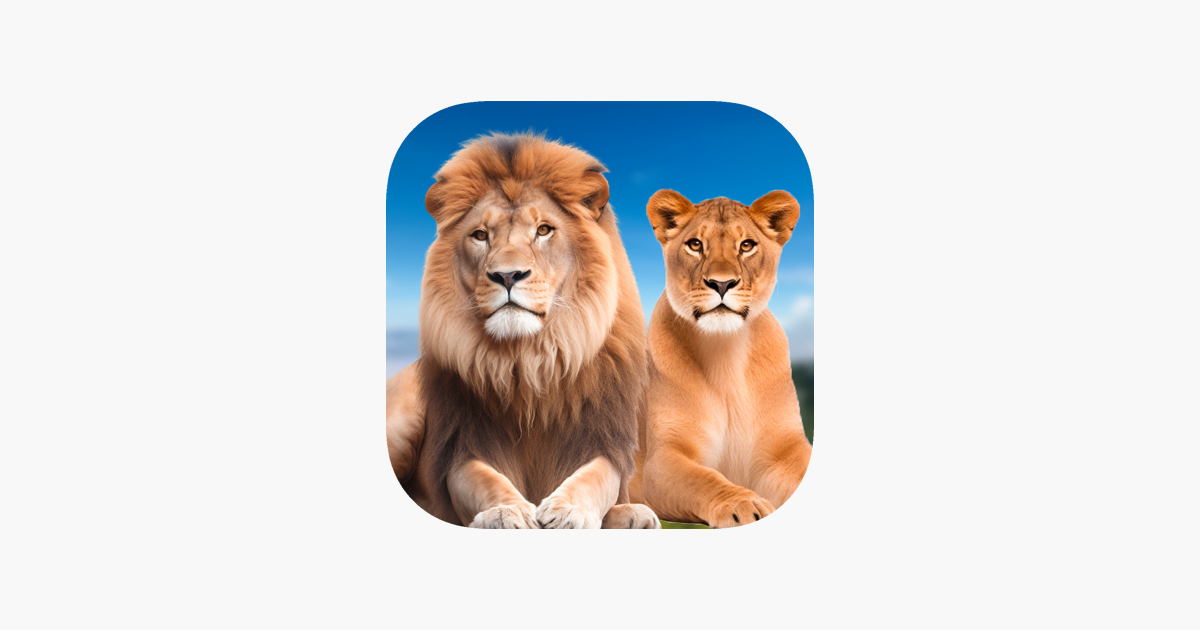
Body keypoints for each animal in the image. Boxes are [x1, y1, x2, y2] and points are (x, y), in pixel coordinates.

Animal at [386, 133, 660, 529]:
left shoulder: (604, 440)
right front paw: (507, 511)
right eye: (480, 235)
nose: (507, 275)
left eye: (543, 230)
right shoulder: (463, 445)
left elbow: (595, 478)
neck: (530, 363)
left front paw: (570, 510)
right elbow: (485, 479)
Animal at [628, 189, 812, 528]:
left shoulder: (784, 449)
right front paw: (743, 505)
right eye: (695, 244)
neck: (726, 353)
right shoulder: (664, 459)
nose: (722, 283)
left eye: (747, 245)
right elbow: (703, 480)